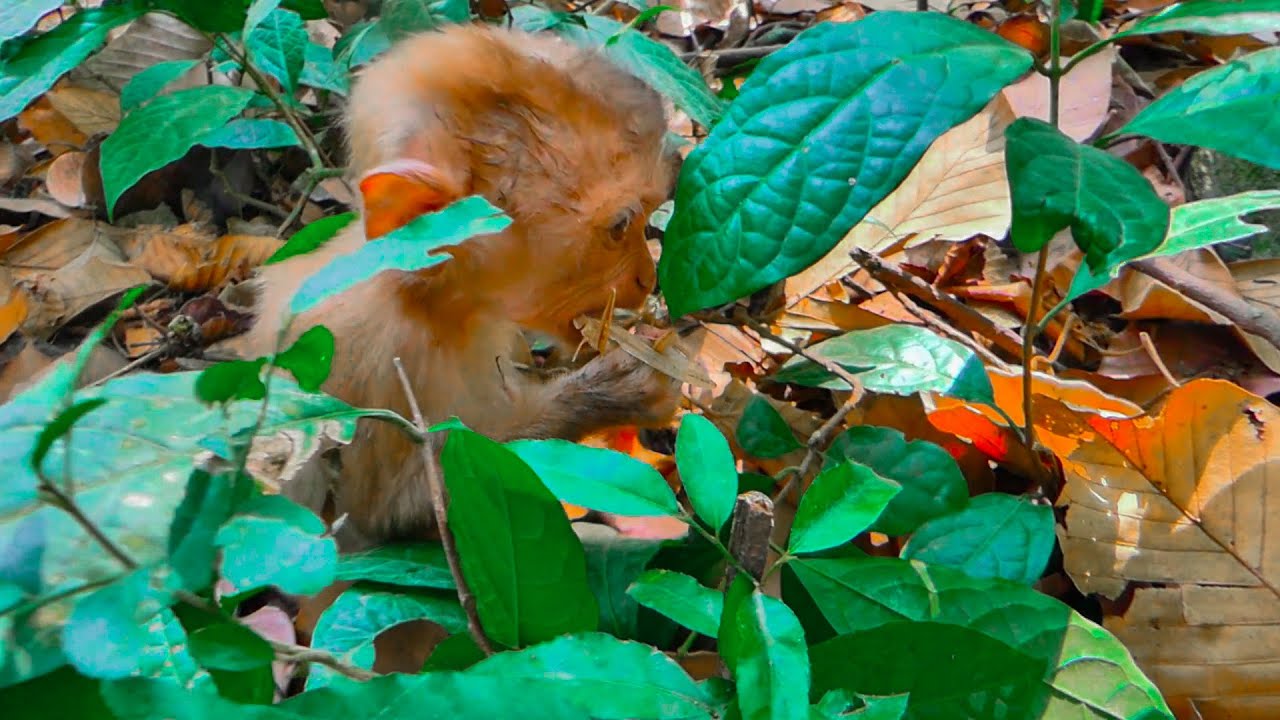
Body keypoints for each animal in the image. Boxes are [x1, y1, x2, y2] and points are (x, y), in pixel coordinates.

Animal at [226, 23, 684, 553]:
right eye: (620, 226)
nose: (648, 277)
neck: (434, 305)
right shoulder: (372, 356)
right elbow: (382, 517)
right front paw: (614, 390)